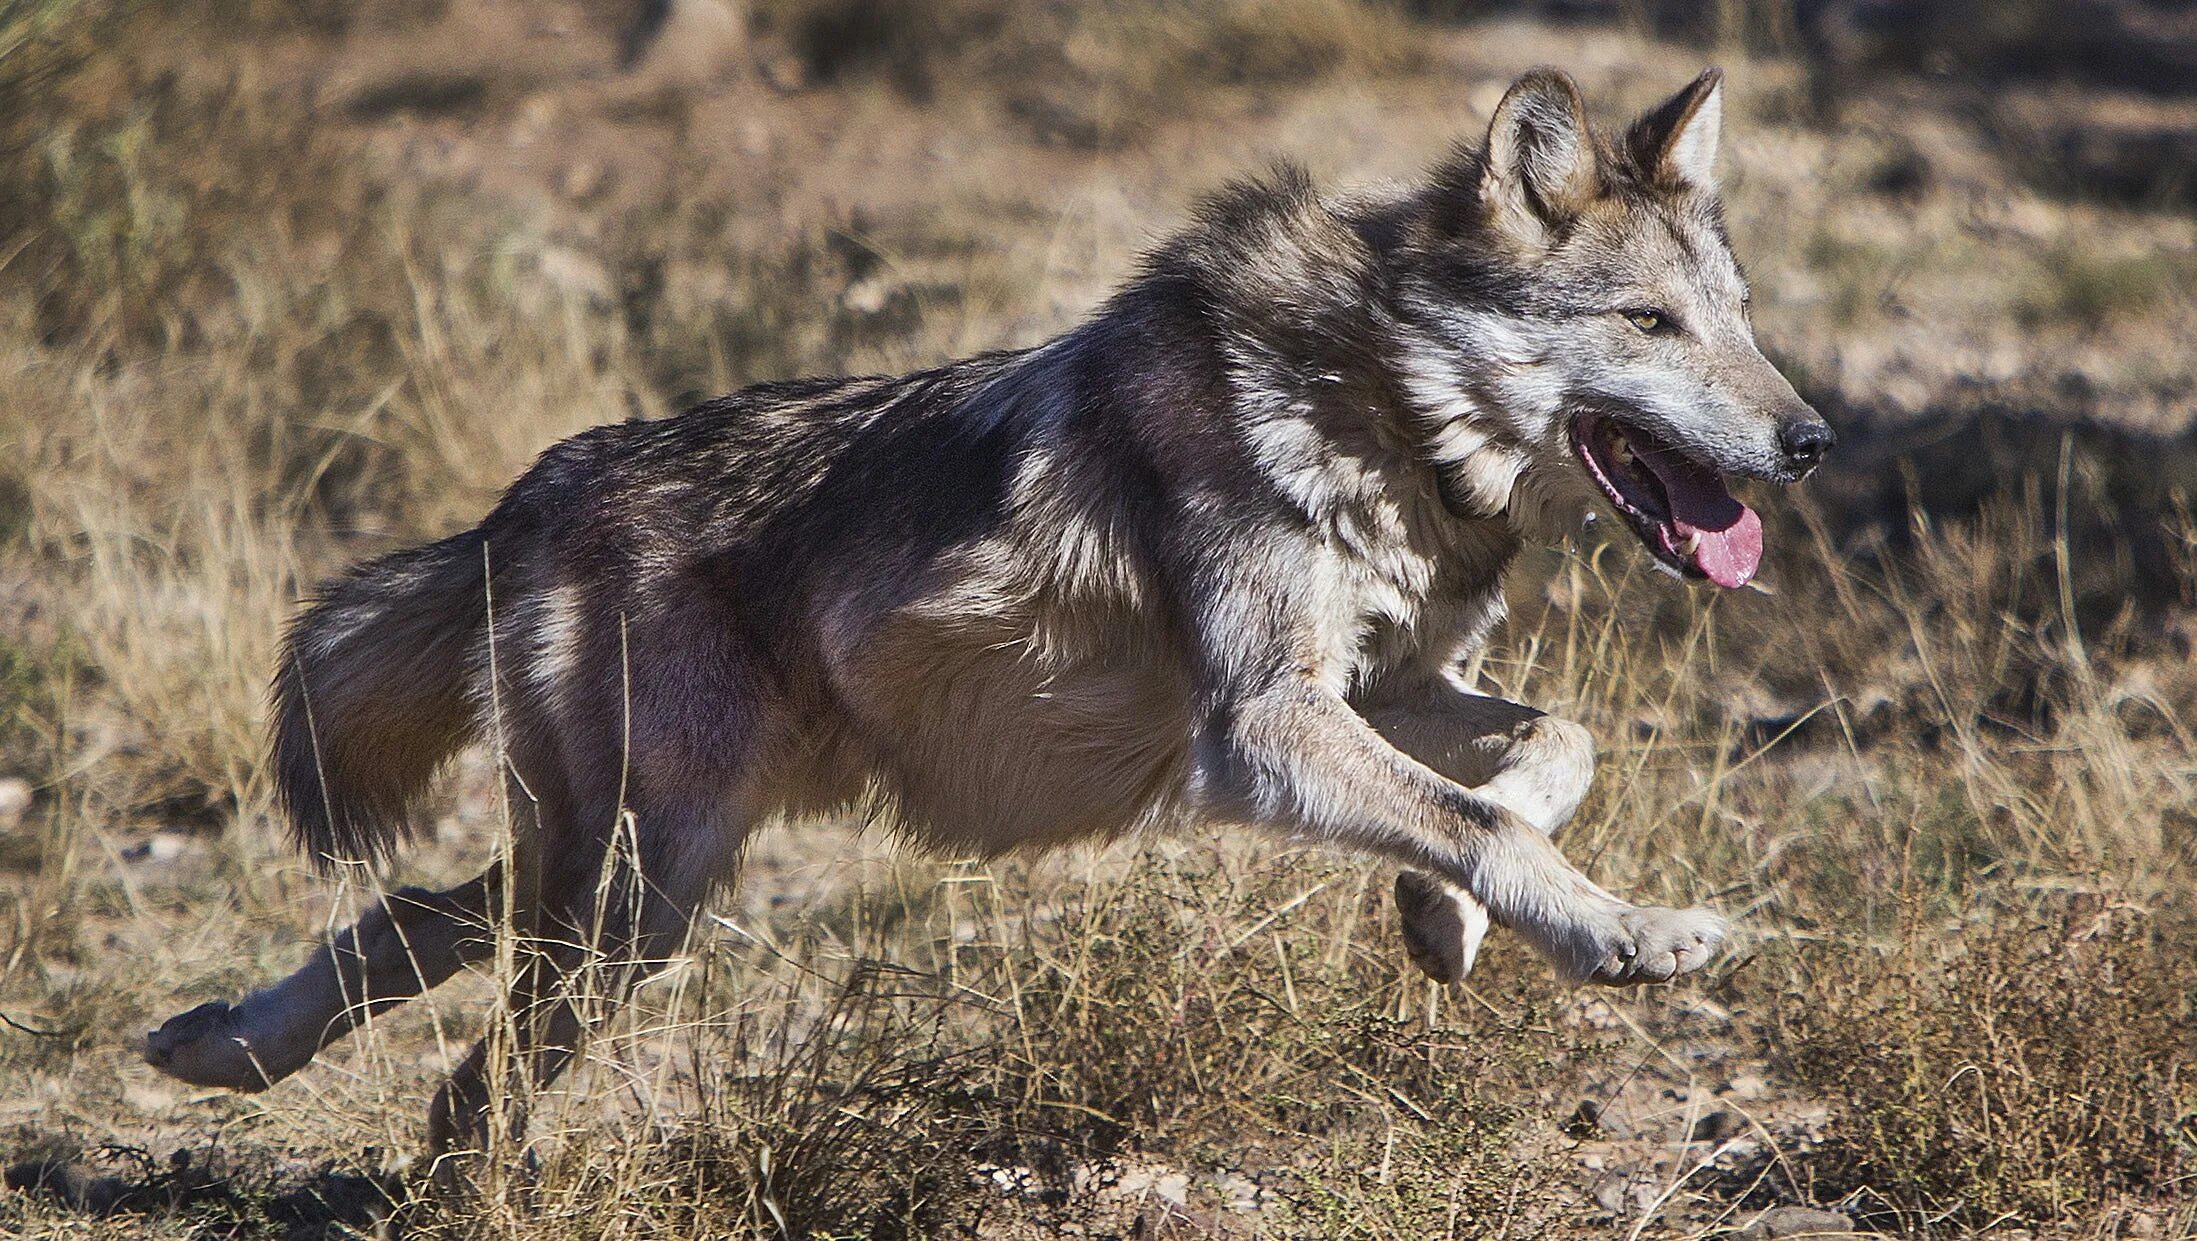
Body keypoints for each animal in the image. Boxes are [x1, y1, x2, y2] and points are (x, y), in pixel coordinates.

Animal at [146, 67, 1836, 1150]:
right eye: (1649, 322)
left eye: (1742, 319)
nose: (1812, 439)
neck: (1375, 406)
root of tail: (524, 498)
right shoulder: (1261, 730)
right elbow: (1484, 812)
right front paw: (1624, 937)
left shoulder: (1383, 690)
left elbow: (1552, 754)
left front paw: (1445, 921)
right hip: (631, 897)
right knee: (472, 1072)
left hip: (635, 882)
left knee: (414, 923)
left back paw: (218, 1045)